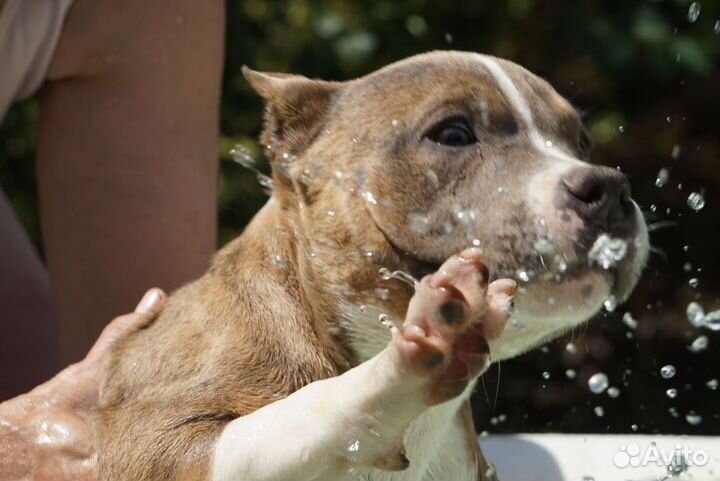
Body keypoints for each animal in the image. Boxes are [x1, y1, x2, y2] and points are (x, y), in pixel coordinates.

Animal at [93, 50, 648, 478]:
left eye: (581, 143)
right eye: (453, 134)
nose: (610, 189)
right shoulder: (148, 441)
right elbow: (293, 419)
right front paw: (407, 367)